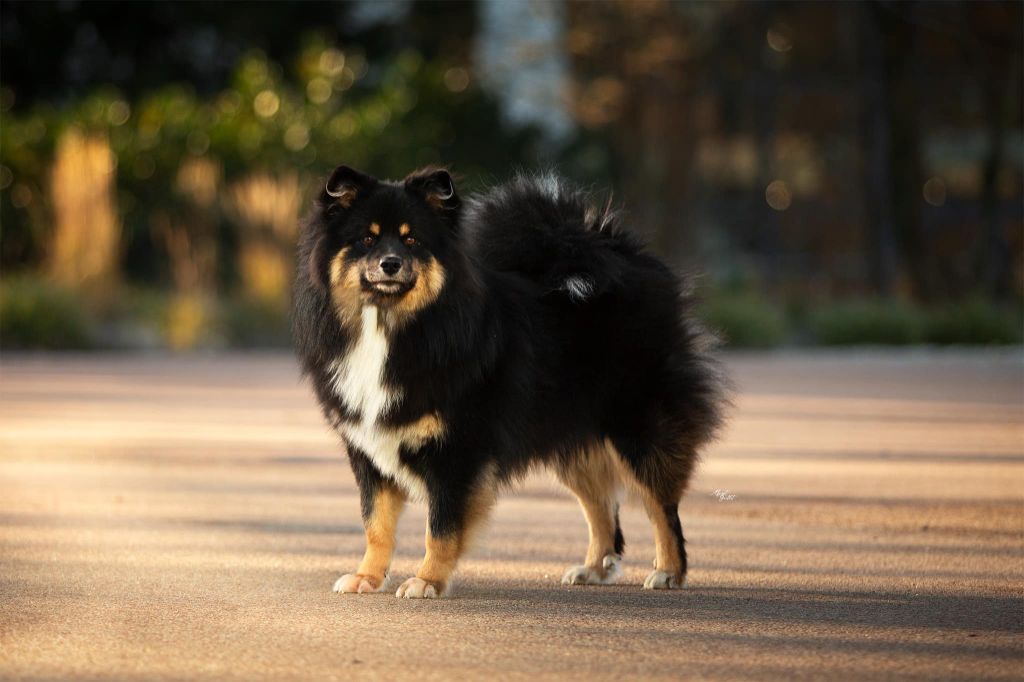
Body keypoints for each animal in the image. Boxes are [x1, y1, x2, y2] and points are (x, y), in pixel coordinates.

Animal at [294, 164, 729, 593]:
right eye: (366, 239)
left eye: (412, 240)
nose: (390, 263)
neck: (391, 328)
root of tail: (613, 253)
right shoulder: (369, 449)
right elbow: (376, 524)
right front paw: (368, 577)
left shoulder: (459, 451)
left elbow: (441, 527)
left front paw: (427, 581)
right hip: (573, 436)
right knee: (600, 505)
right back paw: (594, 568)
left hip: (637, 428)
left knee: (661, 506)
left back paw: (669, 571)